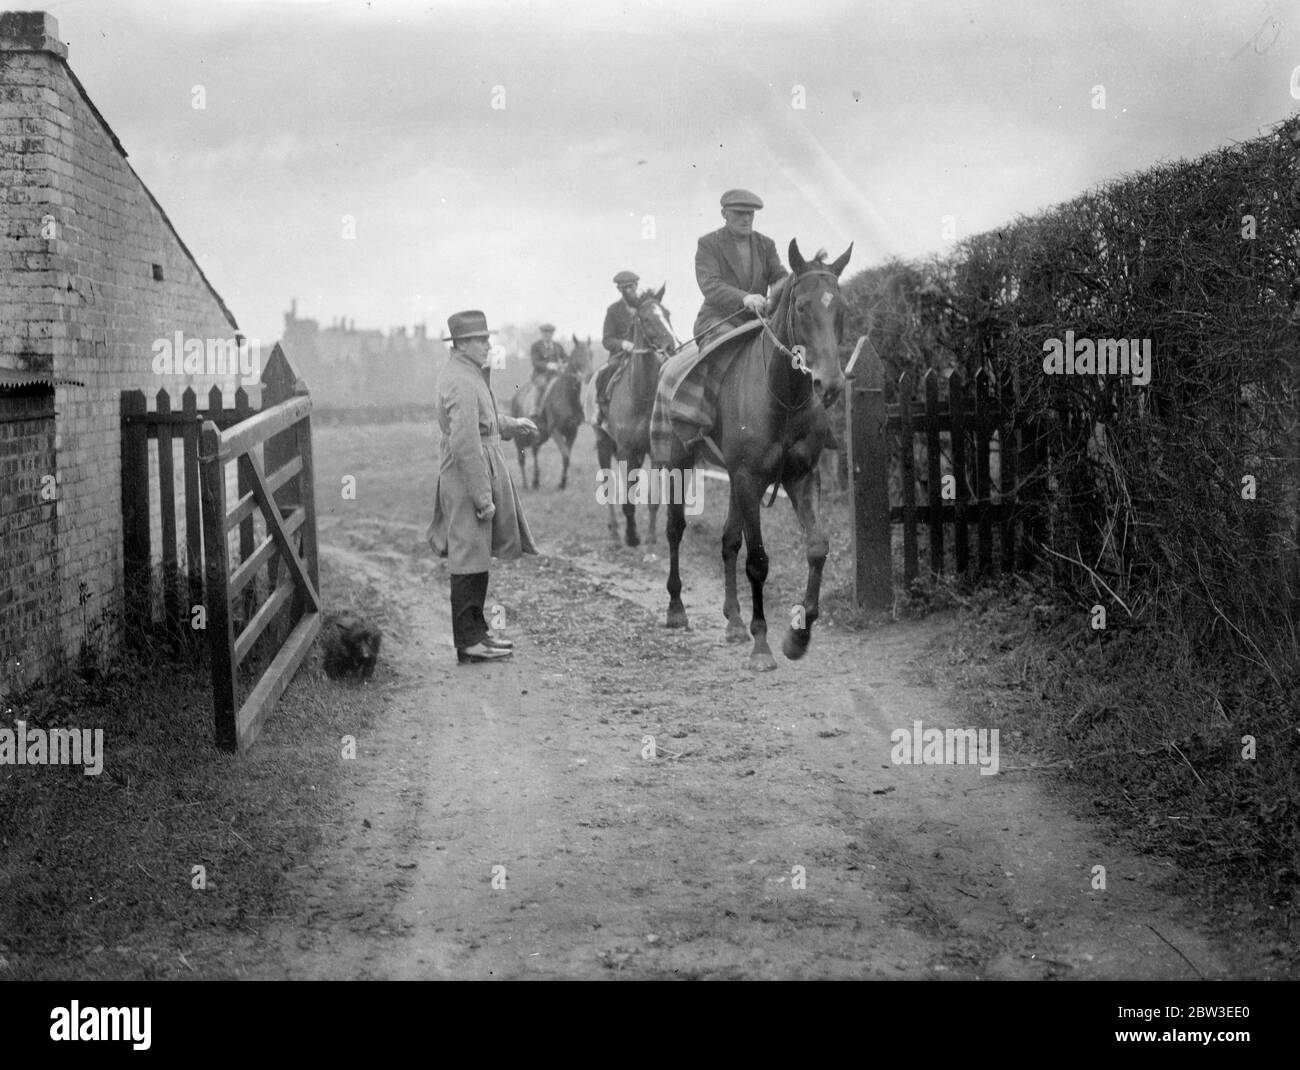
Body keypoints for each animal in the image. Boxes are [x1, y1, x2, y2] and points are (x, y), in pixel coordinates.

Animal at [506, 332, 595, 491]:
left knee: (535, 450)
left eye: (591, 354)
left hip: (541, 435)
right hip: (520, 437)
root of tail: (515, 398)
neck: (566, 396)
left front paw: (563, 483)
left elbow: (567, 456)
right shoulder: (555, 431)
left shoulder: (572, 431)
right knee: (522, 458)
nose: (589, 375)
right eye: (578, 355)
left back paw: (536, 481)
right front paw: (561, 483)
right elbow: (565, 454)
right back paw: (526, 484)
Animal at [595, 284, 681, 548]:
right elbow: (625, 497)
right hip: (604, 444)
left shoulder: (653, 451)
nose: (672, 345)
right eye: (646, 318)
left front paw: (651, 538)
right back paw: (615, 532)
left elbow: (652, 497)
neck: (640, 397)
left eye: (668, 313)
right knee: (608, 489)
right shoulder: (624, 450)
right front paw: (631, 536)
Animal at [660, 240, 852, 670]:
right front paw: (762, 644)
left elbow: (817, 547)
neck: (783, 397)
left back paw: (733, 621)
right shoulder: (749, 479)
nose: (830, 385)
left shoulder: (800, 477)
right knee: (675, 530)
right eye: (802, 306)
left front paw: (798, 636)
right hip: (677, 462)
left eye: (841, 308)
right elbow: (758, 561)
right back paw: (677, 609)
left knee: (728, 541)